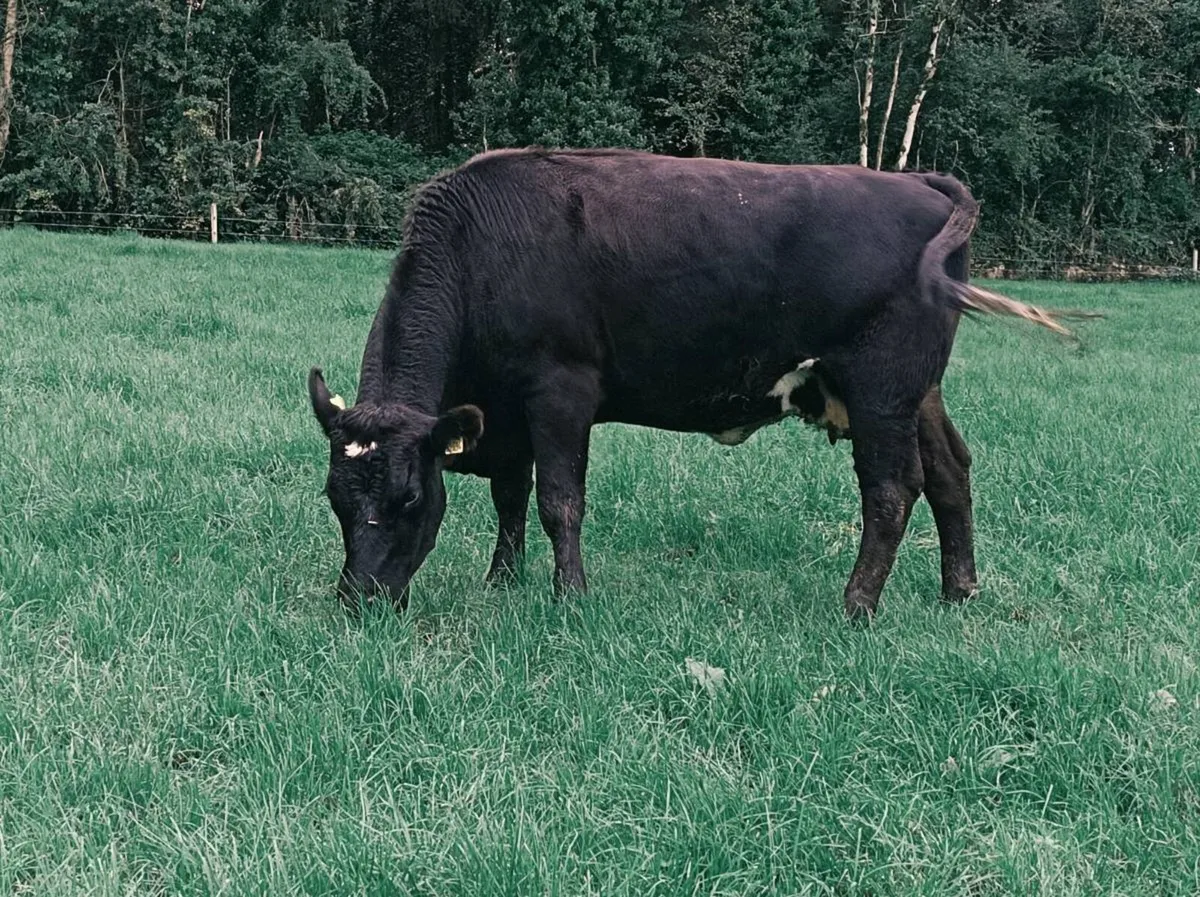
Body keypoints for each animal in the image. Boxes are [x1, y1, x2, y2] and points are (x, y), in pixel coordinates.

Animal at [307, 147, 1079, 620]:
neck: (480, 250)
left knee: (892, 489)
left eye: (409, 500)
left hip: (881, 388)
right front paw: (504, 582)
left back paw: (856, 606)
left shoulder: (560, 389)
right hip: (919, 390)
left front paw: (569, 596)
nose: (360, 601)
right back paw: (959, 591)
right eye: (336, 500)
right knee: (951, 469)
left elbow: (558, 500)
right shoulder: (504, 410)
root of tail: (917, 180)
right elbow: (510, 496)